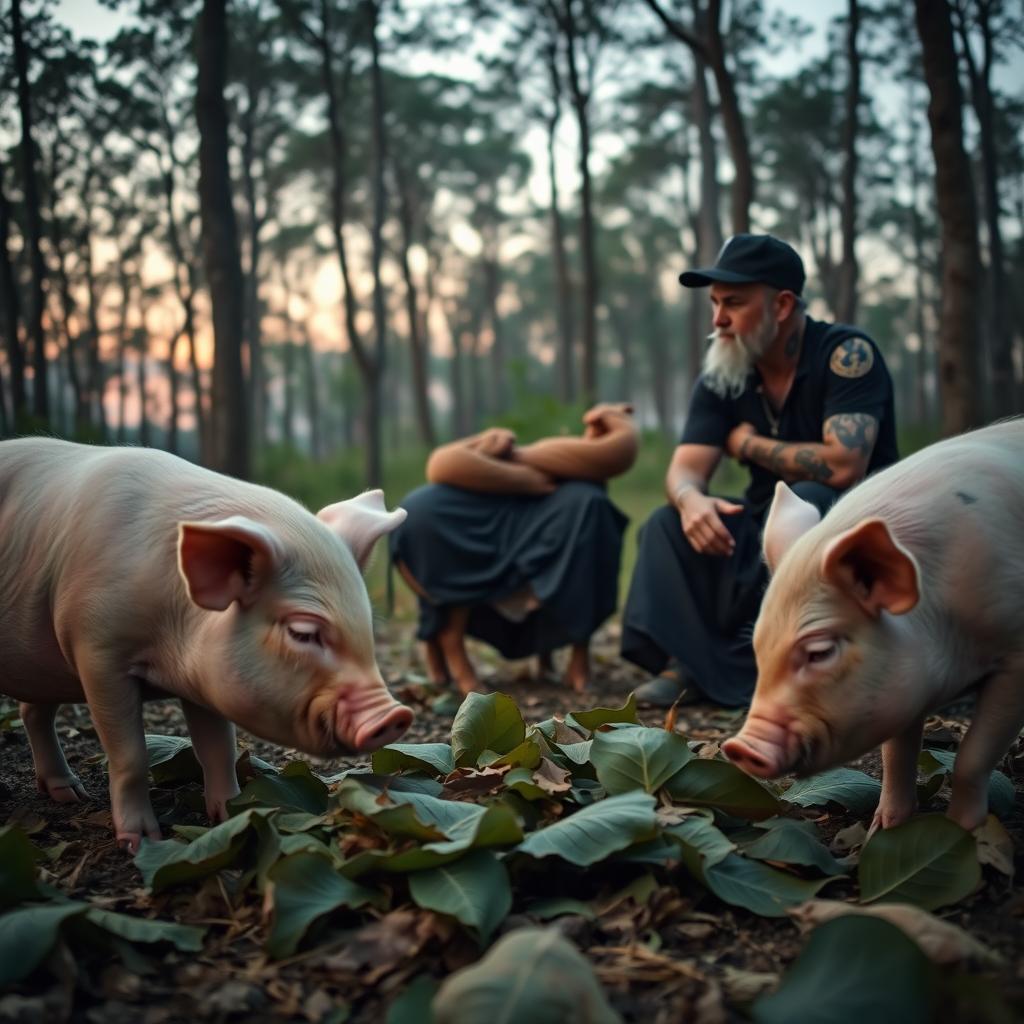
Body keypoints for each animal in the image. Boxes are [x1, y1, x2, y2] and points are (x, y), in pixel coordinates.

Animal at [0, 438, 414, 851]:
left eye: (366, 626)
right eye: (302, 633)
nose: (395, 715)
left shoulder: (203, 679)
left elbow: (218, 749)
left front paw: (231, 817)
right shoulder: (97, 651)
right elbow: (130, 755)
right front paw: (141, 843)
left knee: (33, 712)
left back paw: (70, 795)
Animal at [722, 418, 1024, 833]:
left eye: (820, 652)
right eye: (759, 650)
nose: (738, 746)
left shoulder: (1015, 657)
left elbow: (973, 757)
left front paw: (962, 831)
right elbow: (896, 754)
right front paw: (882, 831)